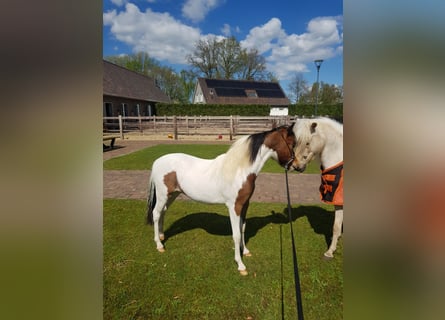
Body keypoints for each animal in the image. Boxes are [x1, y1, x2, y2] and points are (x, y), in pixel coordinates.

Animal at [147, 124, 296, 276]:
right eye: (292, 143)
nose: (296, 166)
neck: (240, 170)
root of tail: (157, 162)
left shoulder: (244, 205)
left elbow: (242, 228)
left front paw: (245, 251)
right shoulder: (234, 206)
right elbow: (236, 234)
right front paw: (240, 265)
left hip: (172, 195)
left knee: (163, 212)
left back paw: (162, 236)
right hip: (163, 195)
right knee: (156, 214)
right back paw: (159, 245)